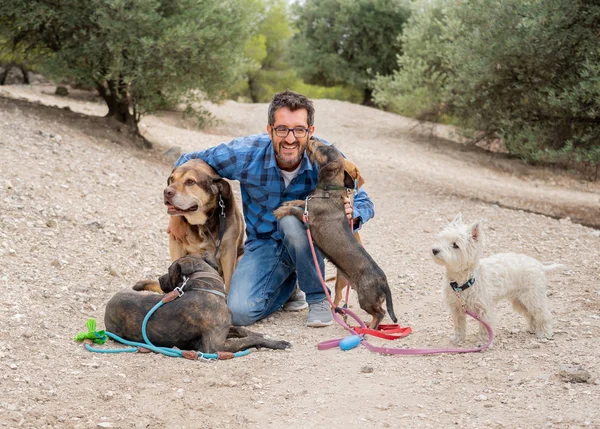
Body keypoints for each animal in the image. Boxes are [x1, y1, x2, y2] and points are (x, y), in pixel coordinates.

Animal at [104, 252, 292, 352]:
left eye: (169, 271)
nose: (160, 279)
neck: (205, 287)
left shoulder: (225, 328)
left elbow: (242, 330)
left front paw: (259, 334)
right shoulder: (215, 347)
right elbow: (247, 340)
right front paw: (276, 343)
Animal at [274, 137, 396, 328]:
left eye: (324, 149)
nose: (311, 138)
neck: (327, 191)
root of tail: (384, 282)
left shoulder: (308, 217)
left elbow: (295, 209)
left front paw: (280, 211)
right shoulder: (308, 204)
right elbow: (299, 201)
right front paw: (286, 204)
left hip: (366, 299)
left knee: (380, 313)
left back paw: (369, 329)